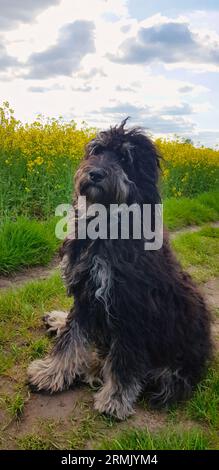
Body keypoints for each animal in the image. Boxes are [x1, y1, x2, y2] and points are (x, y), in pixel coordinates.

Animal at [27, 119, 212, 420]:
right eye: (97, 150)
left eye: (125, 158)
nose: (95, 174)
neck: (108, 226)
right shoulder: (86, 290)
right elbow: (71, 338)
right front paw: (50, 372)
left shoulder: (130, 307)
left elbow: (125, 359)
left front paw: (115, 399)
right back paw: (58, 321)